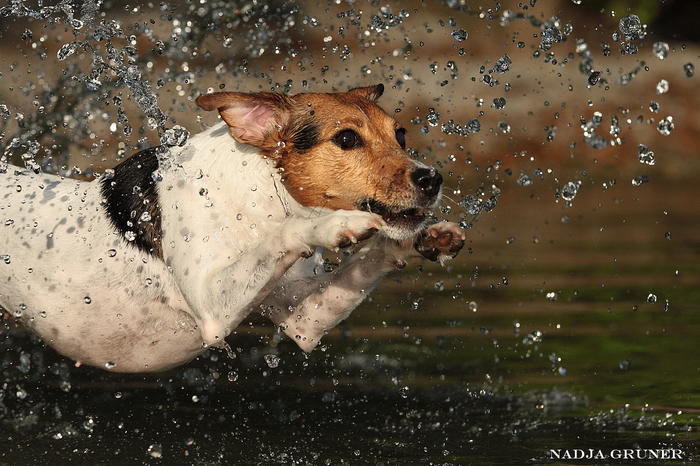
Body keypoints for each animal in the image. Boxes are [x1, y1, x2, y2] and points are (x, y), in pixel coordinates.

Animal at [0, 85, 464, 374]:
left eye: (400, 134)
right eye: (347, 139)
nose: (431, 179)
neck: (254, 196)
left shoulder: (306, 318)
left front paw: (428, 238)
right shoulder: (214, 307)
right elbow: (291, 232)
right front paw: (335, 224)